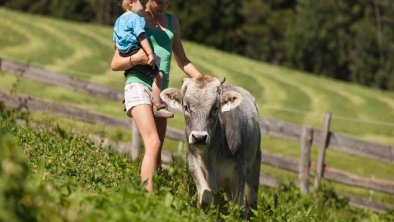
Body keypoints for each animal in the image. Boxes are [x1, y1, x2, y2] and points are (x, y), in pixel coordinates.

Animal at [160, 75, 262, 209]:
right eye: (186, 107)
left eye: (215, 108)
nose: (199, 137)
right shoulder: (193, 161)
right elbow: (206, 197)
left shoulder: (240, 172)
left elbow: (238, 206)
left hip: (255, 164)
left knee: (251, 200)